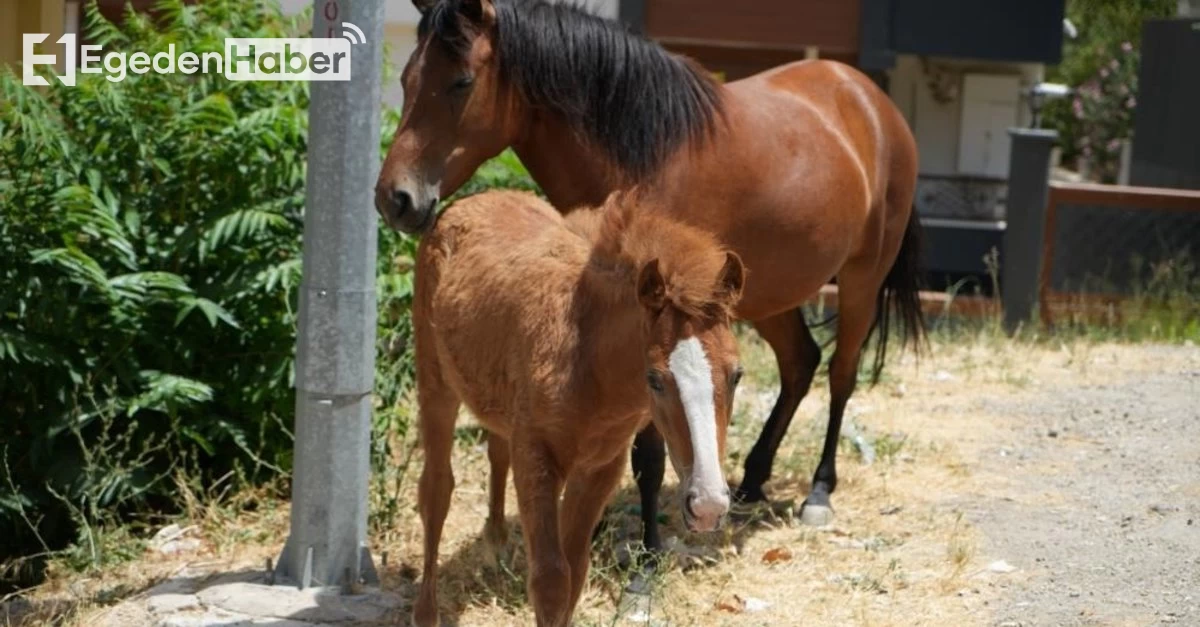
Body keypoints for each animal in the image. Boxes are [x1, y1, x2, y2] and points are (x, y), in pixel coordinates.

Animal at [374, 0, 926, 566]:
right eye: (407, 77)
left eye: (461, 81)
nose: (395, 198)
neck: (640, 156)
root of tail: (869, 96)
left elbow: (651, 446)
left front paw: (649, 544)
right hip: (768, 294)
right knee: (800, 364)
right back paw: (752, 480)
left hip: (861, 279)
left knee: (841, 375)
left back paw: (818, 492)